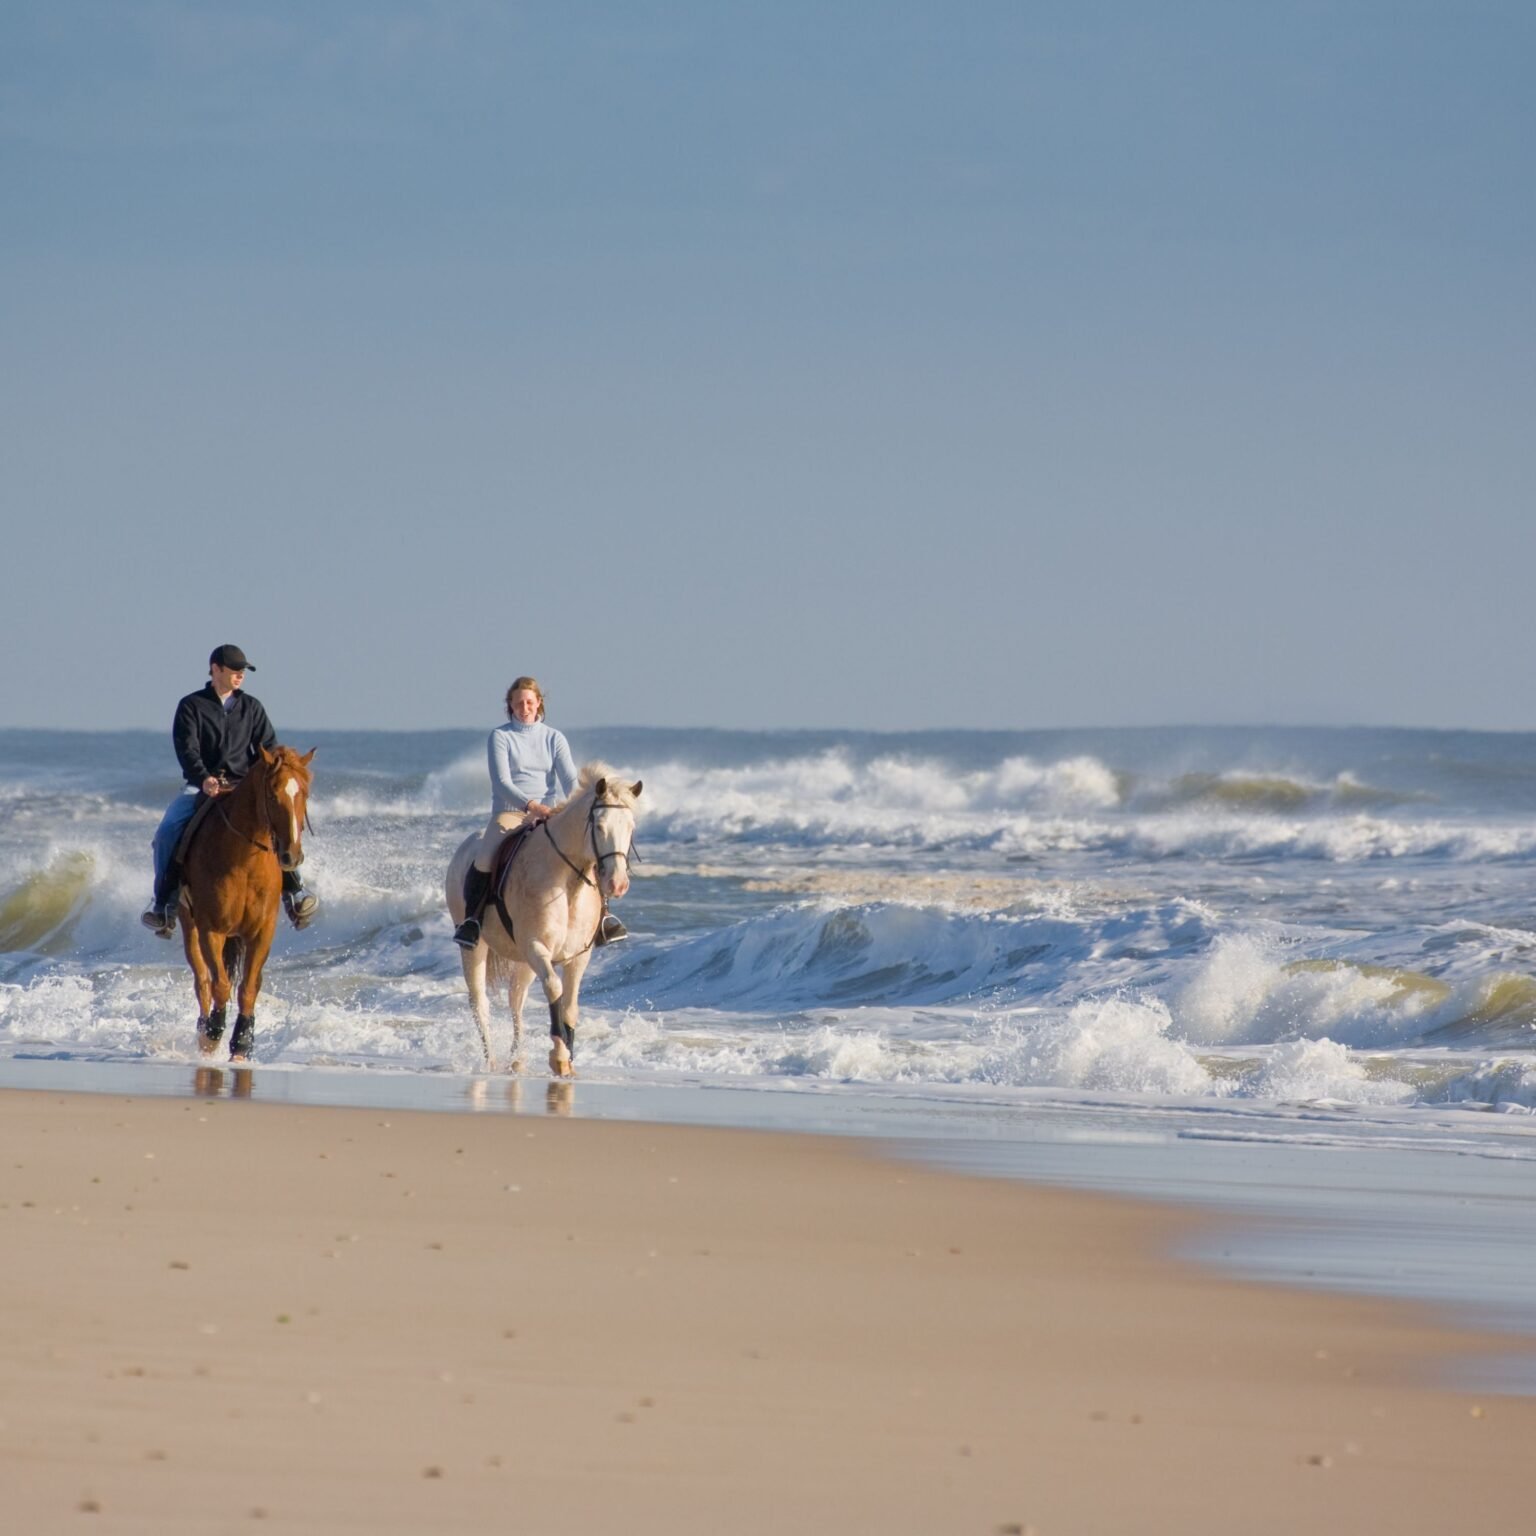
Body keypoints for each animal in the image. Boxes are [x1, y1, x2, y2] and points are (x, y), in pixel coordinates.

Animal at [177, 744, 315, 1062]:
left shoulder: (261, 932)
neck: (244, 860)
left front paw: (242, 1044)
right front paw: (213, 1033)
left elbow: (248, 988)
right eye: (273, 796)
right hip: (188, 924)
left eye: (304, 793)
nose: (291, 856)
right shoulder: (211, 930)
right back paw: (203, 1030)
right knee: (202, 981)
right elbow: (220, 984)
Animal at [447, 763, 641, 1076]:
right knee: (480, 1003)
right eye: (599, 826)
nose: (617, 884)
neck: (567, 884)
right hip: (475, 948)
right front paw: (559, 1055)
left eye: (630, 828)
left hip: (523, 962)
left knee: (516, 1001)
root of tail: (466, 846)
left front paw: (569, 1061)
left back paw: (517, 1060)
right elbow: (554, 989)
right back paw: (490, 1062)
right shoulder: (537, 948)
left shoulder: (578, 956)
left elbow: (570, 1006)